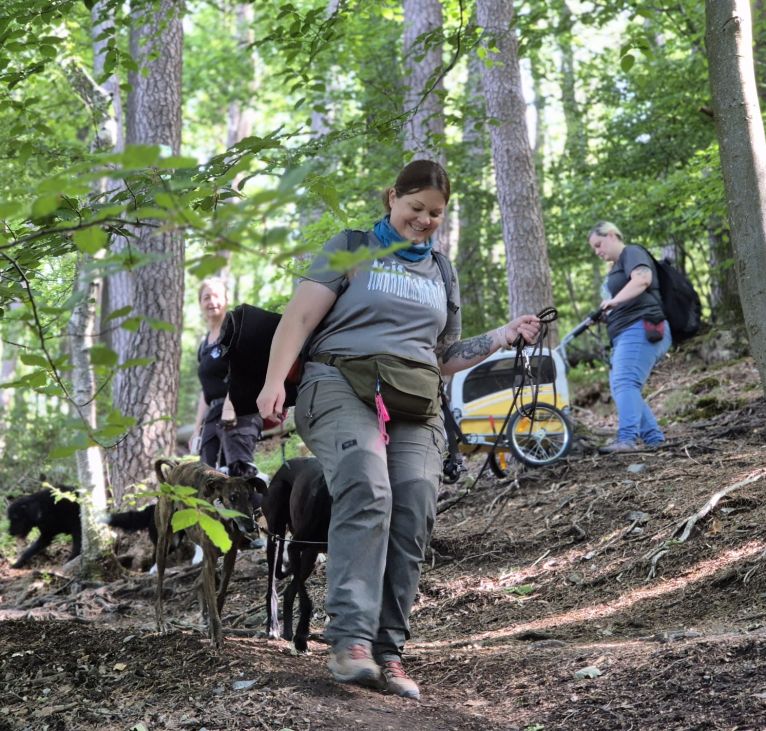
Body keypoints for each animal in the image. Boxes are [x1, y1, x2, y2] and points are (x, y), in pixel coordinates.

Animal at [153, 458, 267, 647]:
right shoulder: (210, 559)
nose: (251, 527)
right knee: (159, 588)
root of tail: (174, 469)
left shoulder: (229, 558)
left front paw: (213, 630)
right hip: (164, 543)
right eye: (233, 497)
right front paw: (216, 636)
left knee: (199, 581)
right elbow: (212, 599)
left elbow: (219, 595)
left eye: (250, 496)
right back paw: (162, 623)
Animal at [262, 457, 330, 652]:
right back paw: (273, 627)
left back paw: (288, 631)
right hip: (276, 535)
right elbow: (307, 602)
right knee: (272, 587)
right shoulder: (294, 547)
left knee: (289, 590)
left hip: (310, 556)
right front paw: (301, 639)